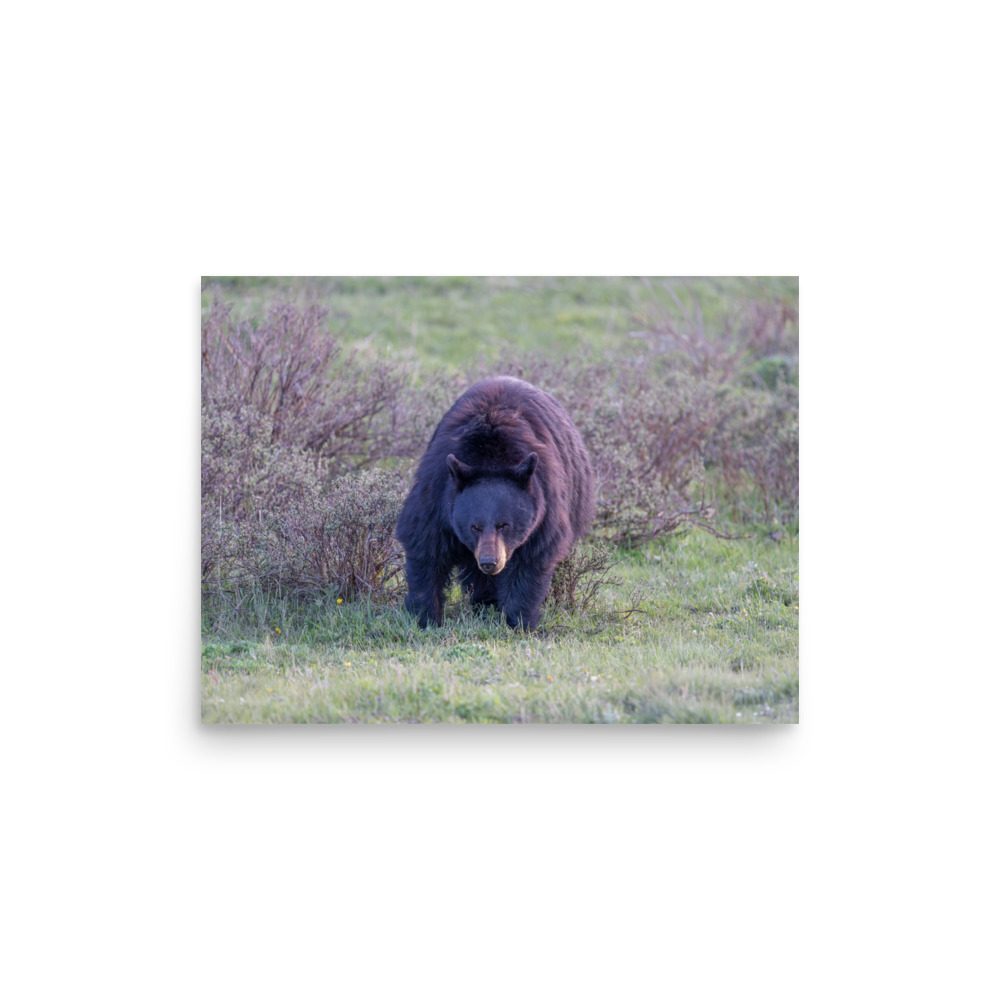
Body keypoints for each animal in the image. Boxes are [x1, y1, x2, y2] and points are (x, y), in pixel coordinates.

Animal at [396, 376, 595, 631]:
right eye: (474, 527)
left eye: (504, 525)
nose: (490, 562)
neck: (490, 458)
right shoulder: (437, 493)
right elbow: (426, 546)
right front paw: (425, 617)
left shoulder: (545, 503)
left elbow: (531, 559)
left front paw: (519, 621)